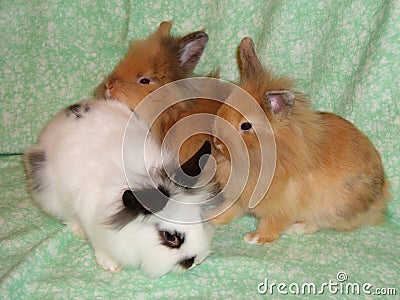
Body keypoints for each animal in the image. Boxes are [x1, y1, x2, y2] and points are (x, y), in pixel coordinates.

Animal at [22, 99, 216, 278]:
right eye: (170, 237)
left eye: (199, 218)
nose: (197, 260)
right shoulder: (89, 216)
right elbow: (97, 241)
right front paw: (109, 264)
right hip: (49, 190)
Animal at [211, 37, 390, 245]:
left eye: (246, 126)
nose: (217, 143)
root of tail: (381, 196)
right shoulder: (238, 197)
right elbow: (231, 209)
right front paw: (213, 217)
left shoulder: (282, 206)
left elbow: (272, 224)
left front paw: (255, 238)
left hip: (333, 207)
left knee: (318, 223)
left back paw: (297, 227)